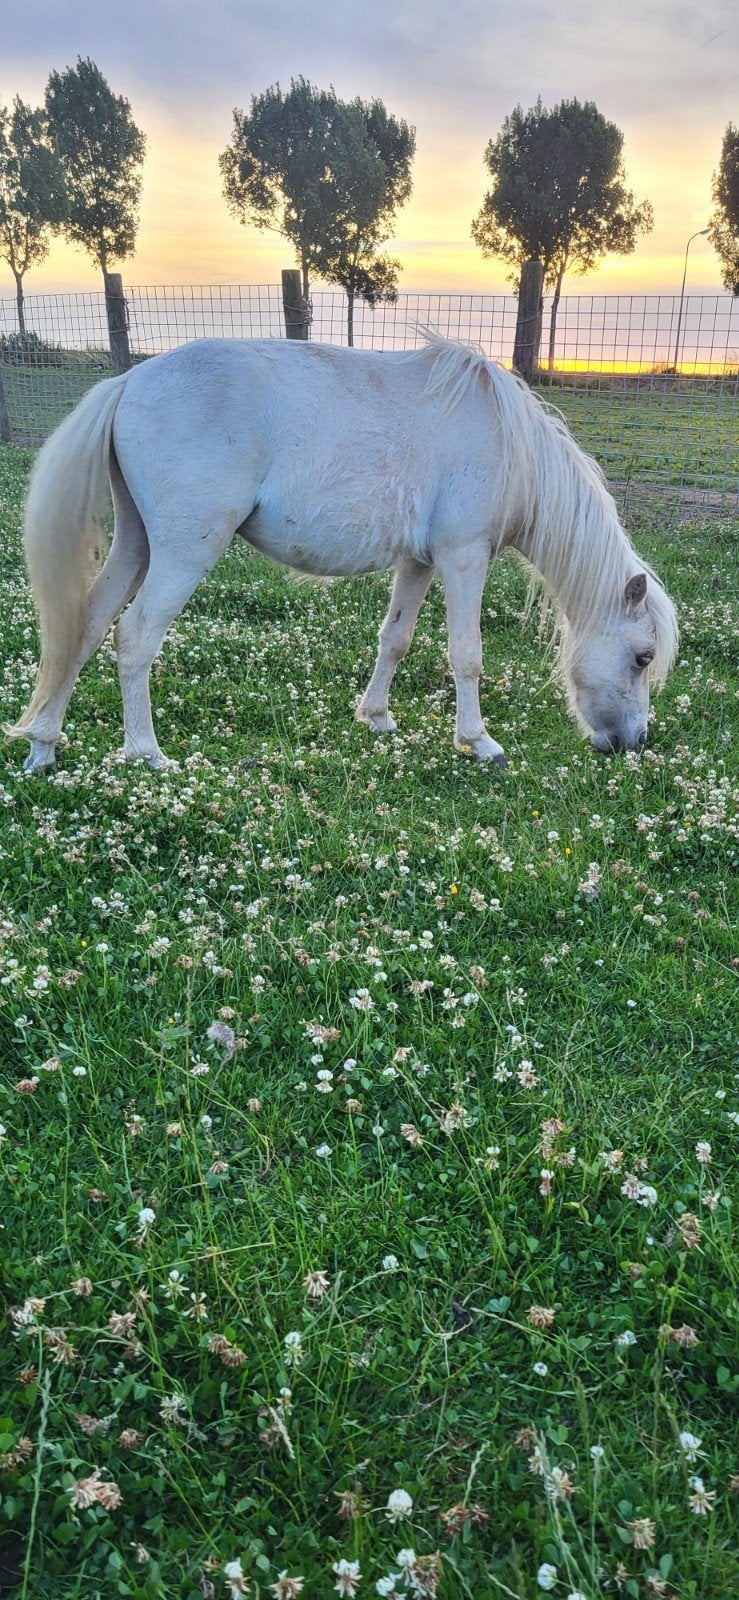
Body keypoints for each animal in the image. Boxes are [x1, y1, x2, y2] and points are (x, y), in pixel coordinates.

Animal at [6, 335, 678, 773]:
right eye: (643, 657)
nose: (634, 742)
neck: (507, 443)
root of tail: (129, 382)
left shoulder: (420, 562)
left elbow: (395, 639)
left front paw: (376, 716)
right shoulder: (464, 557)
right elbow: (466, 656)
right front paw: (478, 742)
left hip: (136, 544)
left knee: (85, 626)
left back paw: (44, 745)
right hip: (182, 552)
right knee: (135, 636)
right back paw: (146, 753)